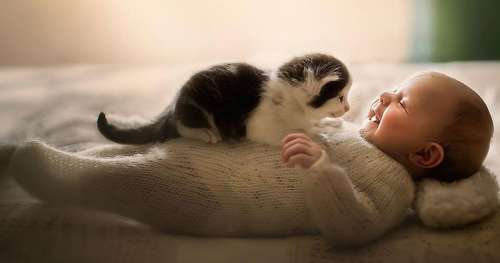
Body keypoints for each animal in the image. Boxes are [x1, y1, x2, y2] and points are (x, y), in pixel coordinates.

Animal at [97, 53, 352, 146]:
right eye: (341, 98)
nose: (348, 108)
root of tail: (173, 104)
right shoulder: (259, 126)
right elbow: (296, 131)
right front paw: (318, 136)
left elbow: (309, 123)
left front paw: (330, 124)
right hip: (198, 104)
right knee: (182, 126)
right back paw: (206, 134)